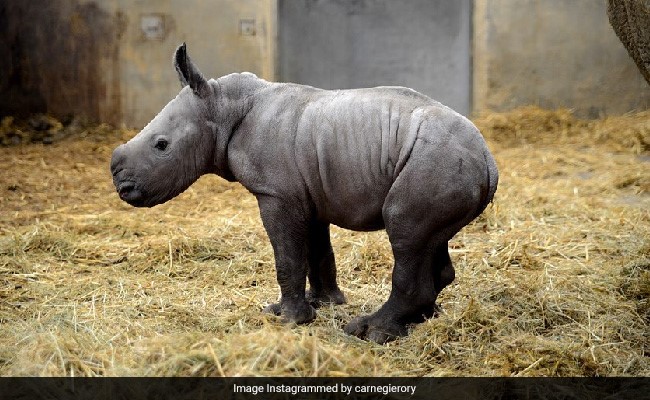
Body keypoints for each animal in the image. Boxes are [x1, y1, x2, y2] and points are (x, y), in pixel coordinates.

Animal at [110, 43, 498, 343]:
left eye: (161, 145)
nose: (121, 185)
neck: (222, 106)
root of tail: (487, 158)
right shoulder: (308, 192)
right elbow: (317, 251)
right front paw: (322, 303)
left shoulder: (277, 194)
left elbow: (287, 256)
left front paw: (288, 319)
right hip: (442, 164)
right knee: (430, 239)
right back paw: (421, 320)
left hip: (436, 162)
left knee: (405, 231)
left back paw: (370, 332)